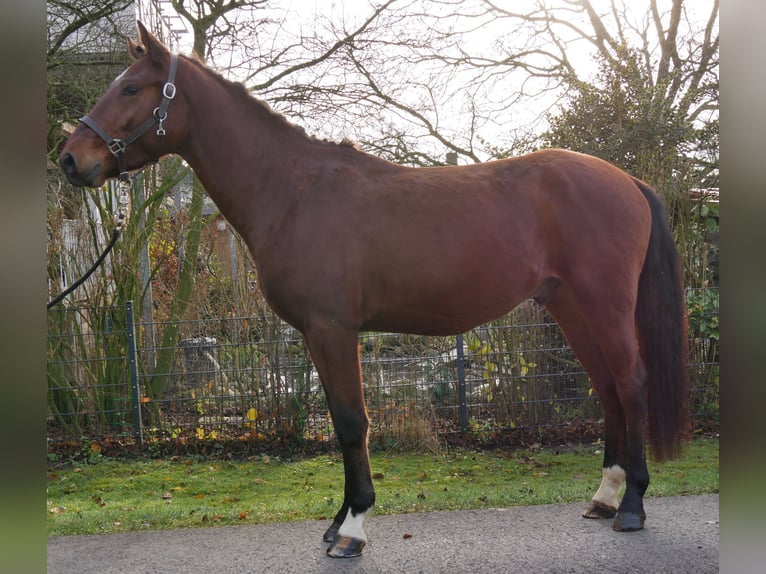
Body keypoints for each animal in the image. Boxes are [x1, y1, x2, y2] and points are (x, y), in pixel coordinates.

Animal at [59, 22, 689, 558]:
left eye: (131, 87)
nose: (70, 159)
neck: (294, 191)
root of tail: (628, 181)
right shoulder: (316, 336)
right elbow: (341, 424)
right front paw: (338, 521)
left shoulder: (333, 330)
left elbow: (351, 422)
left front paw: (354, 529)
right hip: (568, 306)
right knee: (607, 388)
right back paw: (604, 497)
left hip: (604, 305)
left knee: (631, 385)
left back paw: (632, 505)